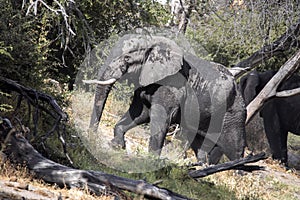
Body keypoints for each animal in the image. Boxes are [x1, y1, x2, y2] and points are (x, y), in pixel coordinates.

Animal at [88, 33, 246, 163]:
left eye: (127, 58)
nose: (92, 136)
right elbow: (140, 112)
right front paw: (116, 146)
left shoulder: (172, 85)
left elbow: (160, 117)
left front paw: (150, 161)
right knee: (199, 141)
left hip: (234, 111)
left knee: (234, 146)